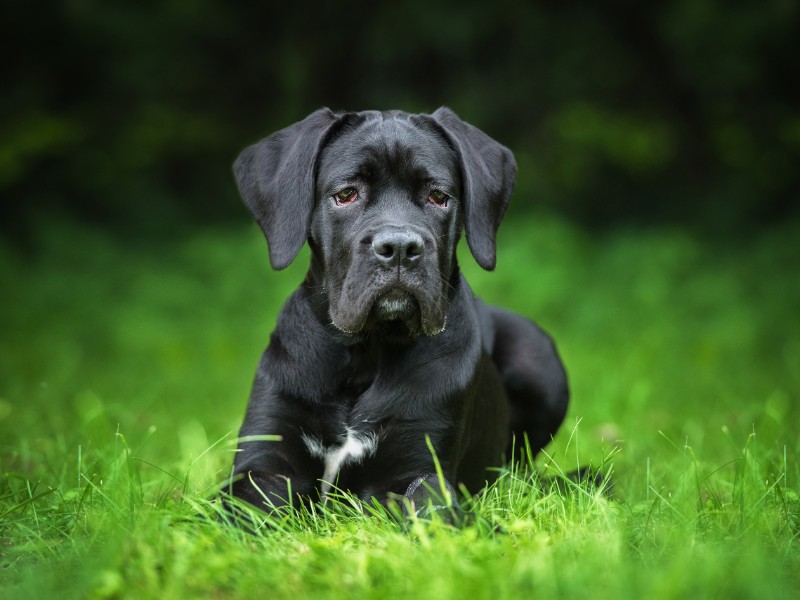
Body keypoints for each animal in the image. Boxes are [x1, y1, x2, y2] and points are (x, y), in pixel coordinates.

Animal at [228, 106, 568, 516]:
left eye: (438, 196)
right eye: (346, 194)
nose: (401, 247)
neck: (366, 354)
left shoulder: (417, 465)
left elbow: (431, 504)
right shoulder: (266, 461)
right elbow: (235, 507)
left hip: (538, 354)